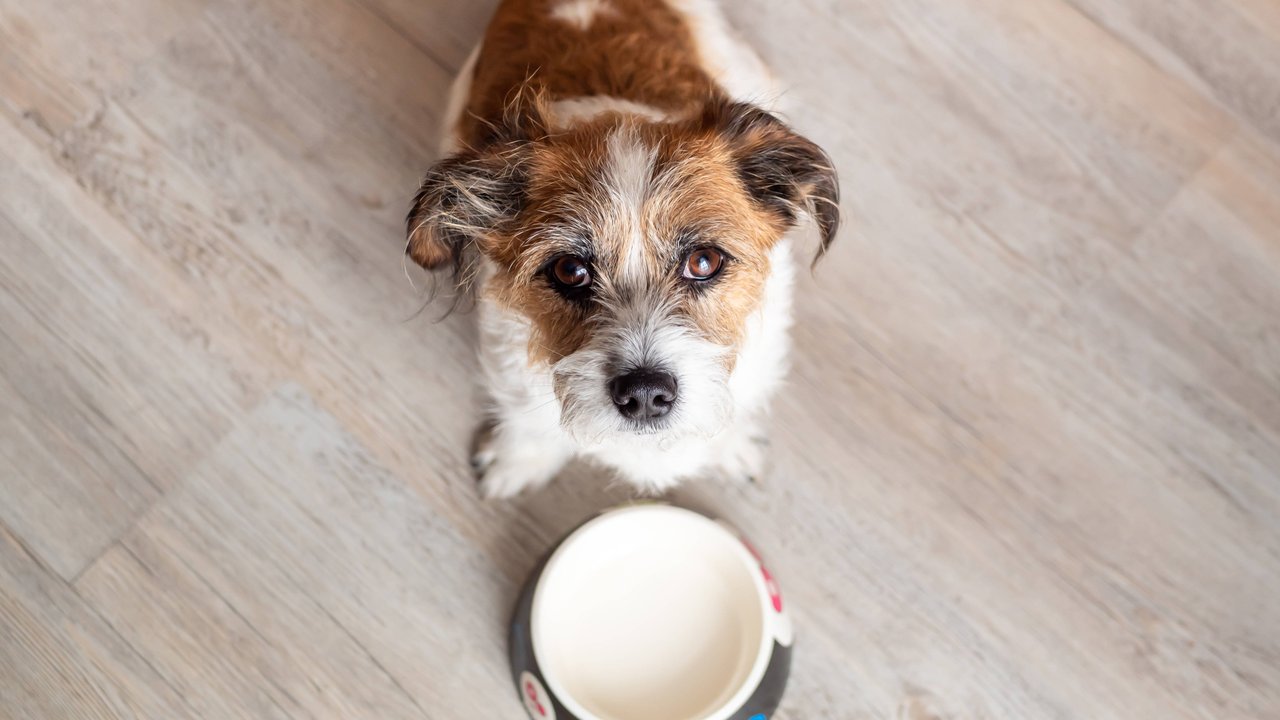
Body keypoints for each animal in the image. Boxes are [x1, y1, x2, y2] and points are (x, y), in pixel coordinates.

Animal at [407, 0, 839, 497]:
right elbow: (527, 421)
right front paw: (520, 459)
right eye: (570, 270)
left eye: (704, 261)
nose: (645, 393)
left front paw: (729, 447)